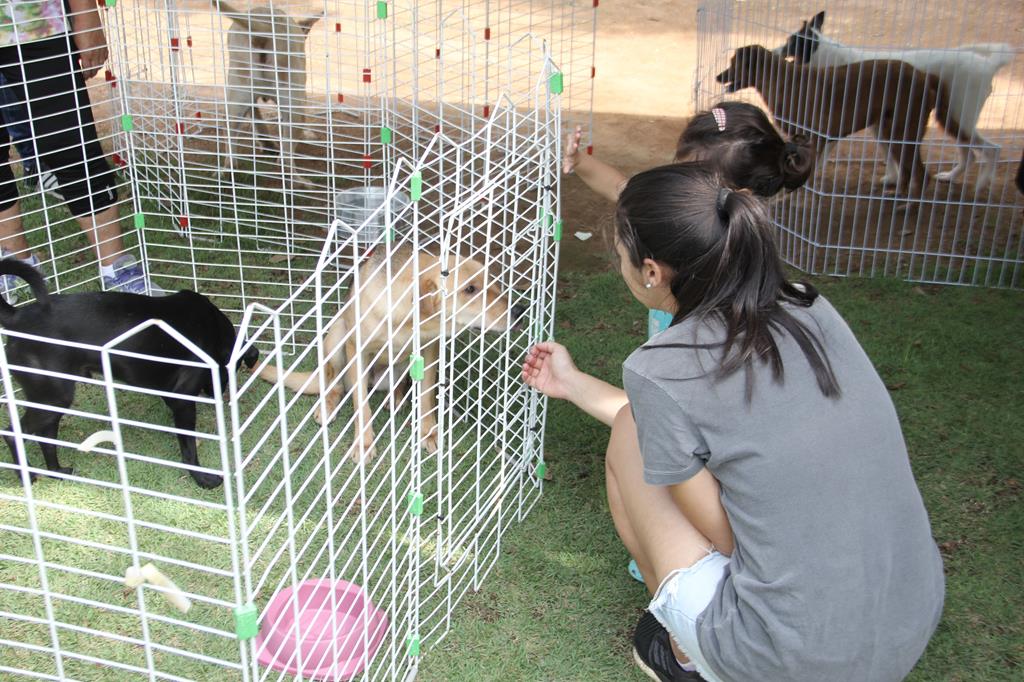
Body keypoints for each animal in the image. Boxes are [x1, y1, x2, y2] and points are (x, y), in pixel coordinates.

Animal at [1, 258, 256, 485]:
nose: (217, 394)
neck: (213, 327)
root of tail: (17, 316)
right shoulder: (183, 397)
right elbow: (189, 447)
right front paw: (201, 478)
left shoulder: (170, 392)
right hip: (52, 395)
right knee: (12, 434)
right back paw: (26, 477)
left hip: (52, 398)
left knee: (45, 436)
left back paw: (56, 471)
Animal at [208, 0, 317, 179]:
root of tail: (263, 28)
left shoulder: (249, 103)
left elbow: (258, 121)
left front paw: (267, 143)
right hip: (296, 105)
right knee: (288, 157)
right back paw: (297, 179)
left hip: (236, 97)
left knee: (230, 137)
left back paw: (226, 171)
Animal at [260, 245, 524, 462]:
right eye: (470, 289)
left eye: (493, 283)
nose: (520, 311)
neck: (405, 319)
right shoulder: (357, 349)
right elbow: (362, 406)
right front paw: (364, 444)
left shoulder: (429, 350)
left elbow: (426, 396)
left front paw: (428, 433)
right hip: (336, 338)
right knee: (335, 385)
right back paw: (328, 406)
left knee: (398, 384)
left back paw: (395, 399)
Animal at [716, 44, 962, 199]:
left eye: (734, 62)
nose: (718, 76)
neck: (780, 80)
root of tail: (925, 75)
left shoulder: (814, 138)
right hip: (891, 132)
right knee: (908, 171)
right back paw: (897, 196)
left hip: (903, 130)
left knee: (922, 174)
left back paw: (908, 208)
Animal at [778, 10, 1011, 189]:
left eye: (790, 42)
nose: (774, 50)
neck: (825, 56)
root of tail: (988, 64)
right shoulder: (879, 123)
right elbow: (888, 152)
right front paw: (893, 178)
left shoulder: (836, 126)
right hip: (952, 119)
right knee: (970, 154)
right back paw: (950, 177)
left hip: (958, 117)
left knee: (992, 149)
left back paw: (983, 184)